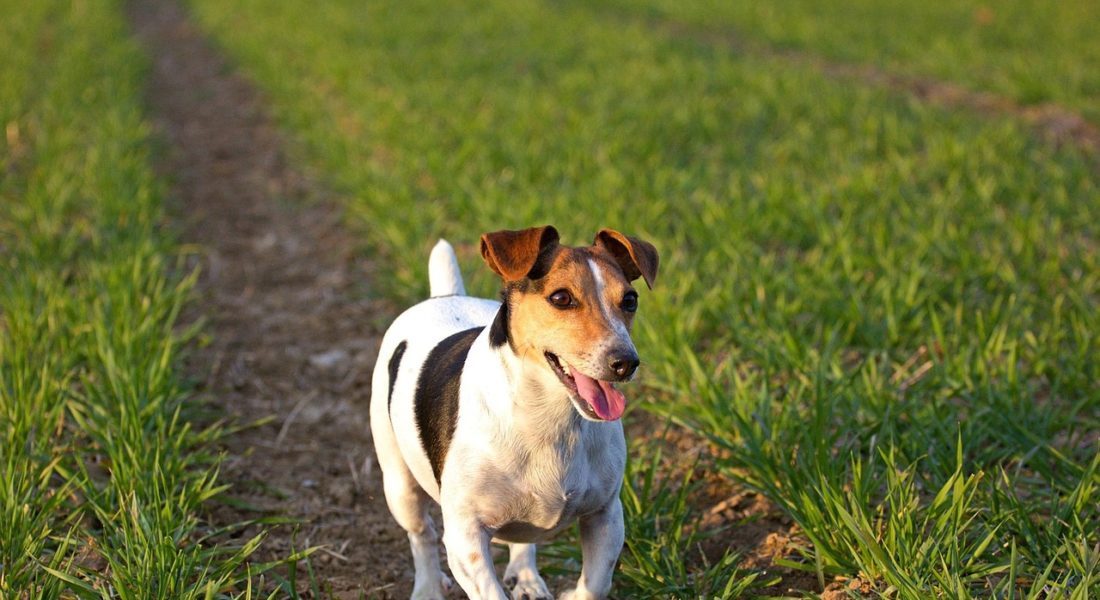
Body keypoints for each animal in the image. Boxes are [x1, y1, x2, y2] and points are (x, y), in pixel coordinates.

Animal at [369, 224, 660, 598]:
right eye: (561, 298)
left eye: (630, 300)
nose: (625, 362)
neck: (549, 417)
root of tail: (445, 296)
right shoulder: (465, 538)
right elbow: (487, 587)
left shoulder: (605, 516)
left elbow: (595, 584)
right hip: (399, 484)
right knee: (422, 534)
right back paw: (428, 587)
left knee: (522, 541)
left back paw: (526, 578)